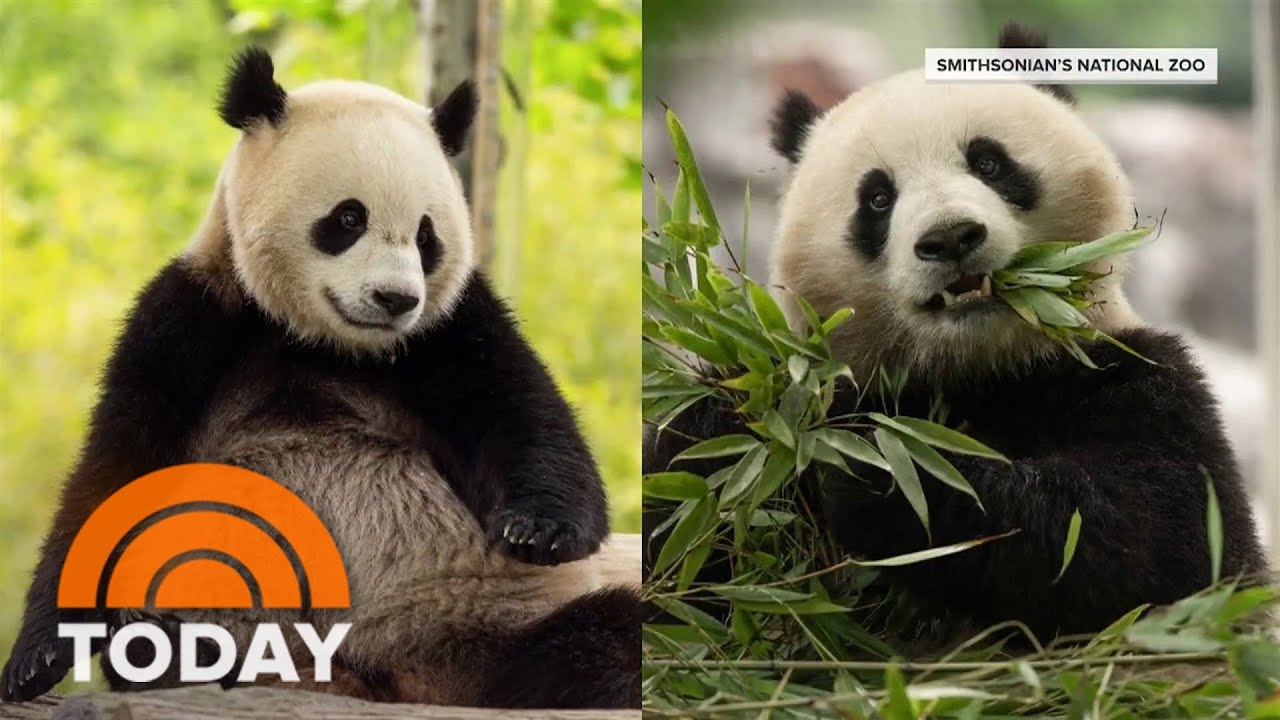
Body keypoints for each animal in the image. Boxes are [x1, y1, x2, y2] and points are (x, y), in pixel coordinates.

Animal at [3, 48, 640, 708]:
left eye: (427, 235)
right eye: (348, 218)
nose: (395, 299)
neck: (323, 342)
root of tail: (375, 679)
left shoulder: (447, 331)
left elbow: (525, 417)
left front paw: (539, 528)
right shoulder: (193, 318)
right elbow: (113, 473)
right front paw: (39, 657)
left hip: (486, 621)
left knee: (605, 635)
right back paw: (174, 641)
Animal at [646, 23, 1267, 640]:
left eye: (989, 163)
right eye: (877, 198)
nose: (950, 238)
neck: (972, 368)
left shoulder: (1131, 376)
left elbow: (1160, 535)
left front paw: (885, 472)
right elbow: (683, 523)